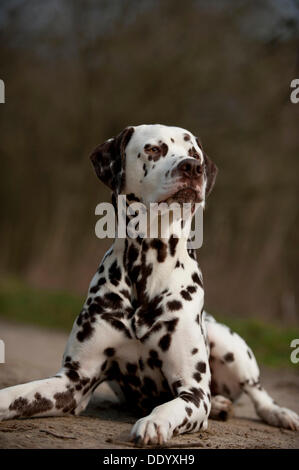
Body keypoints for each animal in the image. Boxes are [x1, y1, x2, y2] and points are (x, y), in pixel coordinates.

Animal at [0, 124, 299, 444]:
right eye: (154, 149)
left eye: (194, 153)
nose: (193, 167)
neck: (148, 265)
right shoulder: (72, 382)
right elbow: (16, 394)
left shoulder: (193, 392)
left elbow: (170, 407)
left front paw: (154, 423)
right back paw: (221, 404)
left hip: (229, 345)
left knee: (258, 391)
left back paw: (280, 414)